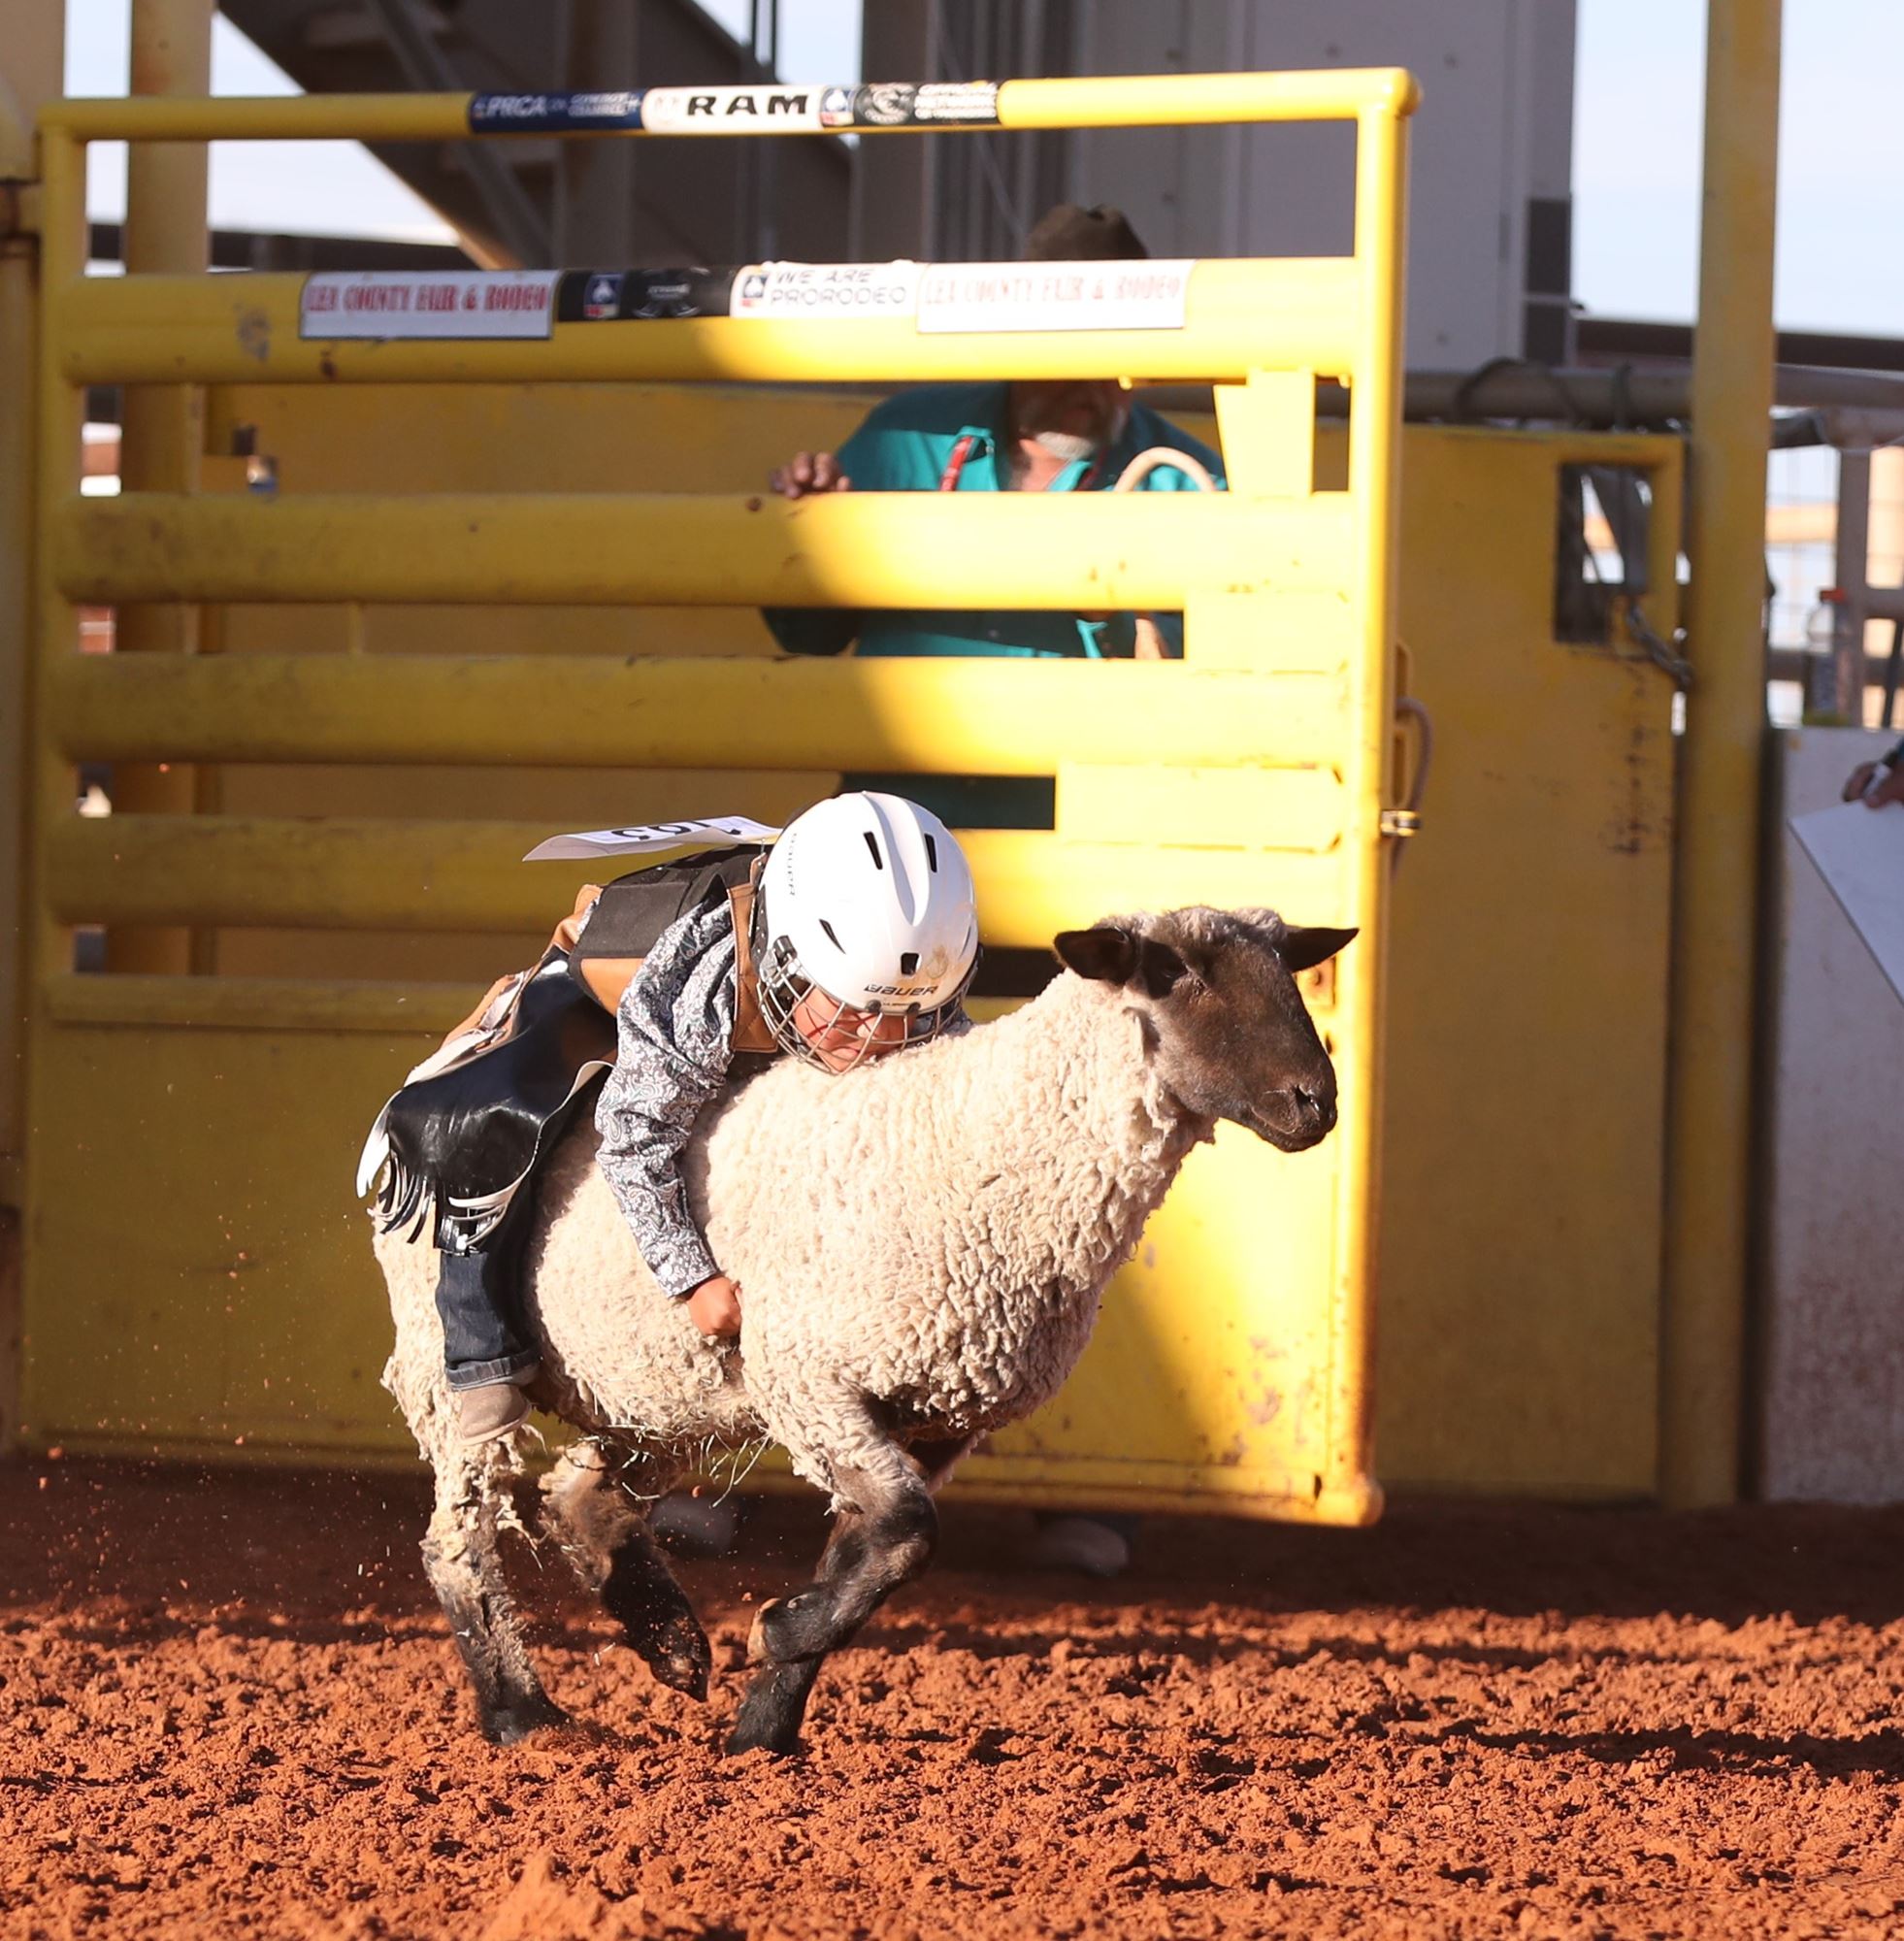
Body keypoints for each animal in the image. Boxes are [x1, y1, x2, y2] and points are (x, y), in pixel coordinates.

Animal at [375, 901, 1351, 1755]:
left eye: (1287, 970)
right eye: (1178, 974)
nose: (1316, 1102)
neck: (982, 1145)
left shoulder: (928, 1415)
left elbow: (873, 1554)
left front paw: (762, 1722)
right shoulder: (814, 1378)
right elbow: (907, 1537)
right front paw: (775, 1634)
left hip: (660, 1380)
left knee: (577, 1486)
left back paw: (670, 1643)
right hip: (448, 1364)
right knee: (456, 1538)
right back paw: (524, 1716)